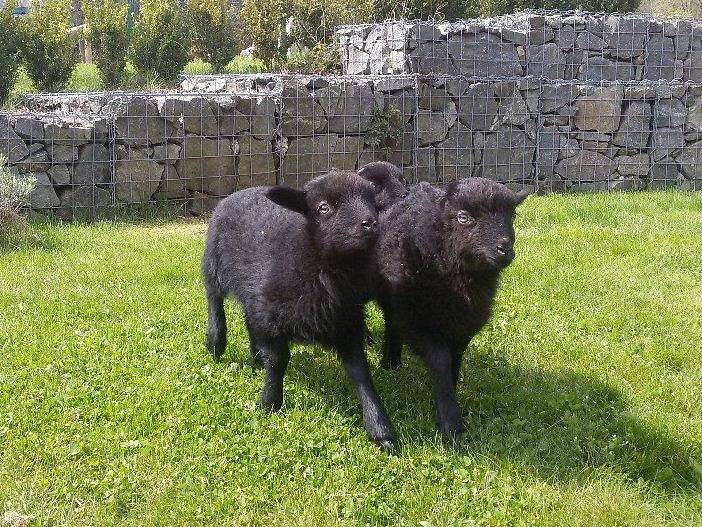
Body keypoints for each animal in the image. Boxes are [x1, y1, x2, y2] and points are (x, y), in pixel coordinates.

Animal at [204, 169, 402, 450]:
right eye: (323, 207)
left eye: (372, 201)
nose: (371, 224)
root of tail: (241, 191)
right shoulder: (272, 315)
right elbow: (279, 360)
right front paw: (269, 402)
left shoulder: (345, 322)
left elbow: (360, 372)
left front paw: (380, 428)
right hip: (214, 265)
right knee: (214, 298)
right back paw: (215, 341)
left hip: (252, 293)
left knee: (247, 317)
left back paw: (256, 356)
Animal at [376, 179, 524, 440]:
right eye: (463, 217)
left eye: (513, 215)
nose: (504, 249)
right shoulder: (415, 320)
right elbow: (441, 359)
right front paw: (450, 422)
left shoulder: (464, 326)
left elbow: (455, 360)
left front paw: (450, 396)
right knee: (392, 323)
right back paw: (390, 362)